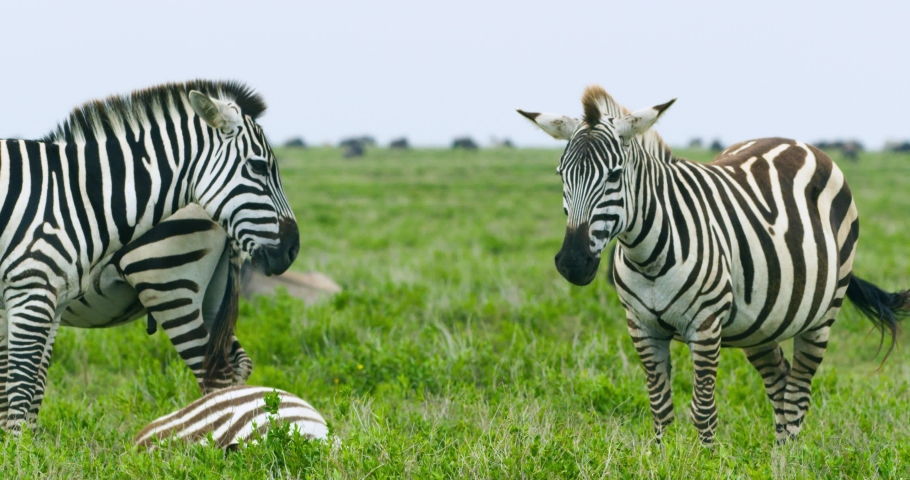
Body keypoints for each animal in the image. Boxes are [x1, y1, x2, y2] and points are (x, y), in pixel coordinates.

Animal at [0, 80, 299, 432]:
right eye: (258, 166)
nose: (293, 248)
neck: (71, 197)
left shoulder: (32, 293)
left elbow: (19, 390)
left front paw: (19, 448)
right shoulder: (38, 299)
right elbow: (22, 390)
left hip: (169, 286)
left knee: (213, 376)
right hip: (210, 295)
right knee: (235, 366)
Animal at [518, 85, 909, 445]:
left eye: (614, 175)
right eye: (560, 175)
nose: (572, 262)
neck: (647, 257)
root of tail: (796, 143)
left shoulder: (705, 326)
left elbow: (703, 411)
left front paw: (706, 462)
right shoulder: (642, 327)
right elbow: (660, 408)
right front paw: (662, 460)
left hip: (823, 314)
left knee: (798, 392)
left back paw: (794, 461)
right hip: (761, 323)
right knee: (780, 383)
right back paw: (777, 459)